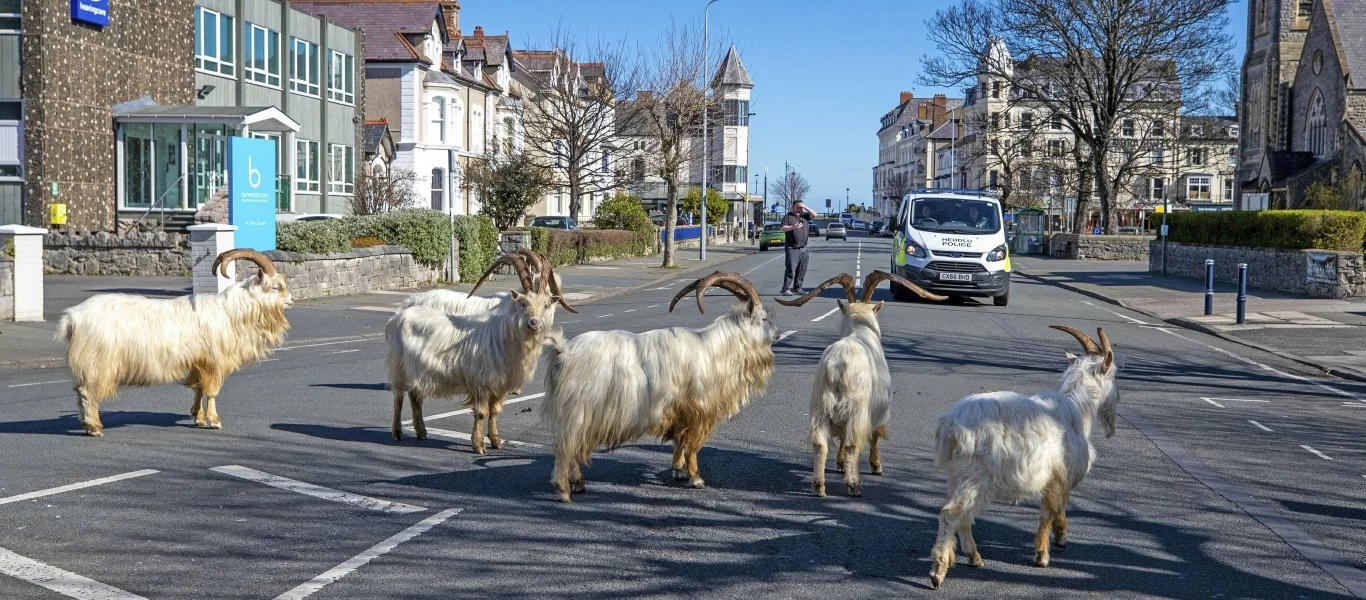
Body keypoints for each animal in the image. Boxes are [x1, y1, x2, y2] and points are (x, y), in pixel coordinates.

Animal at [59, 248, 296, 437]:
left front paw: (198, 418)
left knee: (80, 391)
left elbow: (198, 389)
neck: (231, 312)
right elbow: (212, 392)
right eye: (276, 287)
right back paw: (95, 428)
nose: (292, 300)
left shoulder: (198, 362)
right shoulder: (214, 362)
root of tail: (73, 317)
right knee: (87, 392)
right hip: (98, 362)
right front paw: (214, 421)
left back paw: (86, 425)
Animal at [385, 254, 565, 456]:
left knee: (415, 396)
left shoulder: (500, 384)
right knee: (398, 397)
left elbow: (494, 411)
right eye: (523, 303)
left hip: (418, 370)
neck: (503, 336)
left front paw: (496, 441)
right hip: (398, 366)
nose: (534, 322)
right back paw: (397, 433)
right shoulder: (480, 382)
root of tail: (398, 315)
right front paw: (479, 445)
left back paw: (421, 432)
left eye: (546, 304)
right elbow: (481, 413)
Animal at [543, 271, 781, 502]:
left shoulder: (680, 411)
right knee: (566, 447)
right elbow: (692, 446)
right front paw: (696, 478)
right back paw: (564, 489)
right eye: (764, 318)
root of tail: (563, 352)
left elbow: (680, 442)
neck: (715, 350)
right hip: (579, 410)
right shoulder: (699, 410)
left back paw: (577, 483)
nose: (778, 333)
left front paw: (679, 470)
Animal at [775, 271, 945, 497]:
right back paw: (854, 485)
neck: (860, 331)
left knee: (821, 443)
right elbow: (874, 436)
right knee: (852, 444)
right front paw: (876, 466)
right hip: (856, 408)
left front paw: (840, 464)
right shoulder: (879, 409)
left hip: (820, 407)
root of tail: (837, 365)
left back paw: (819, 486)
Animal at [928, 326, 1120, 590]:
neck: (1077, 409)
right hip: (977, 475)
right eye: (1114, 374)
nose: (1117, 399)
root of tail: (950, 426)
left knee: (962, 515)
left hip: (957, 476)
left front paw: (1060, 536)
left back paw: (973, 556)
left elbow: (1058, 505)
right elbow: (1050, 509)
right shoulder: (1060, 473)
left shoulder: (1057, 476)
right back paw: (938, 571)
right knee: (952, 514)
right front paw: (1043, 555)